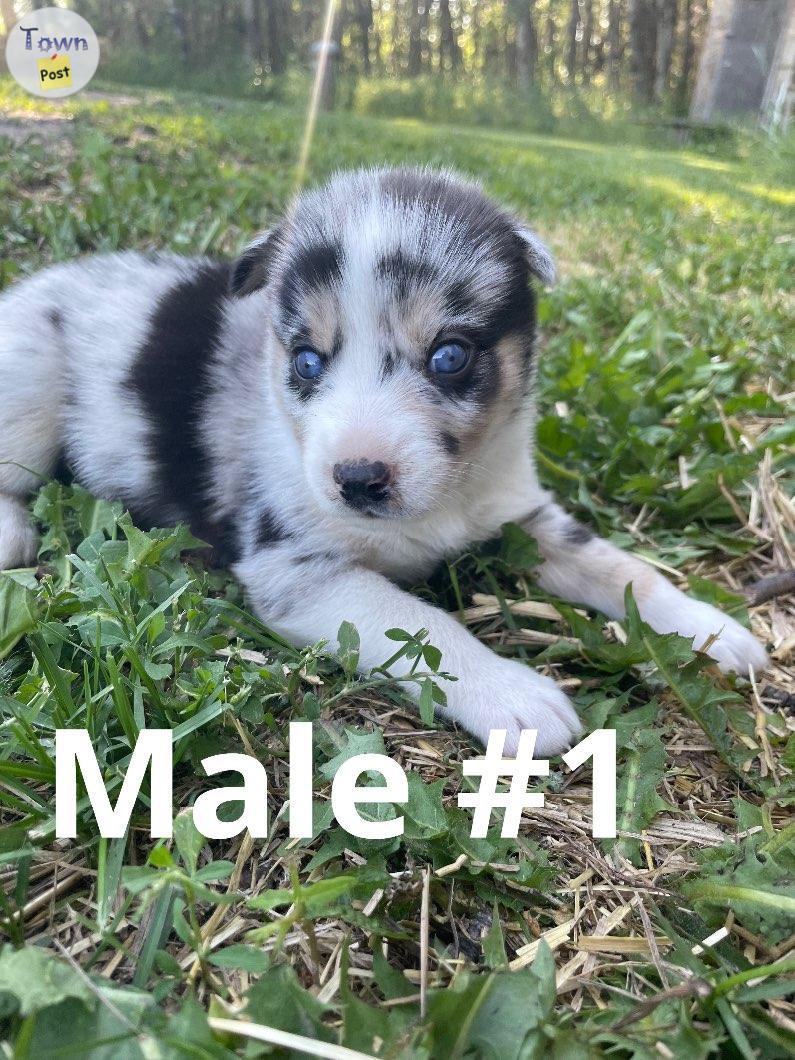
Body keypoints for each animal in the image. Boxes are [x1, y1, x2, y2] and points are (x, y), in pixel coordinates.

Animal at [1, 167, 771, 754]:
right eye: (306, 361)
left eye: (450, 356)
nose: (358, 481)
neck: (442, 504)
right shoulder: (297, 568)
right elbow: (423, 625)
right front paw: (512, 694)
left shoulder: (520, 513)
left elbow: (621, 569)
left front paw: (712, 628)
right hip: (30, 384)